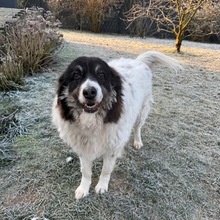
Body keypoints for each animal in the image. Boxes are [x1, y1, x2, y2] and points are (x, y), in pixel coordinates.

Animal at [52, 51, 182, 199]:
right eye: (76, 75)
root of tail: (138, 61)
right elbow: (85, 171)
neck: (92, 120)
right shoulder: (83, 148)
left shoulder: (112, 147)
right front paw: (83, 188)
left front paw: (102, 186)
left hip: (142, 111)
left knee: (138, 127)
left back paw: (137, 141)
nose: (90, 92)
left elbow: (106, 170)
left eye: (101, 74)